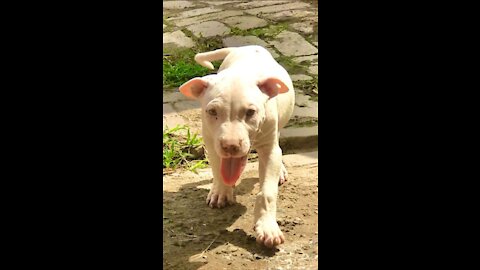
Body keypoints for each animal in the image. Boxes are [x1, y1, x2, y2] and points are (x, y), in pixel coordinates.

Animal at [178, 45, 294, 248]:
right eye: (212, 111)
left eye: (250, 112)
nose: (230, 146)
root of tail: (245, 47)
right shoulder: (211, 143)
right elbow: (218, 169)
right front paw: (221, 192)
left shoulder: (268, 149)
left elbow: (267, 192)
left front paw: (267, 227)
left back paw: (280, 170)